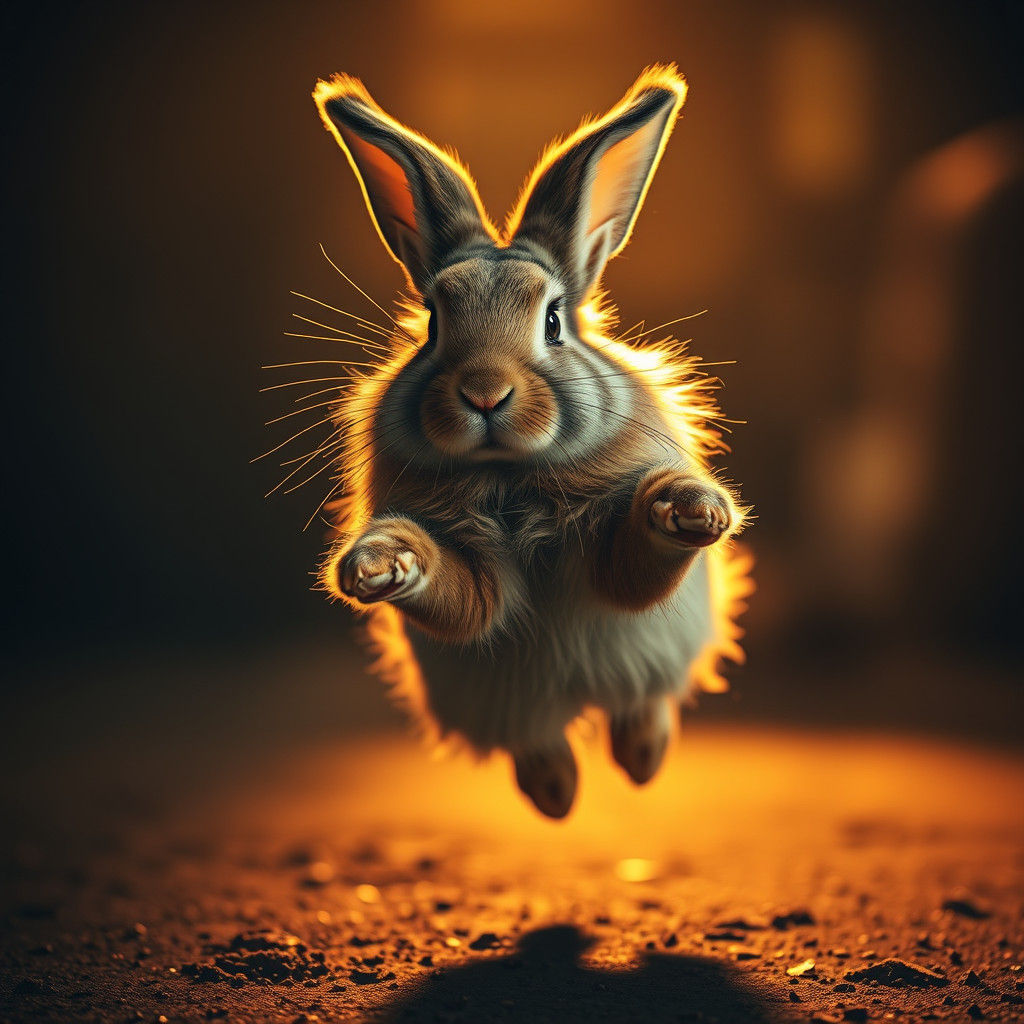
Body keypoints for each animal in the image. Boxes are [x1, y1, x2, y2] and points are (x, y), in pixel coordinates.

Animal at [309, 65, 751, 819]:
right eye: (433, 321)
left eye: (553, 321)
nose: (485, 393)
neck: (509, 477)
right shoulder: (473, 583)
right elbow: (458, 595)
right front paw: (379, 563)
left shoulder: (611, 562)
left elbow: (637, 563)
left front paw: (690, 508)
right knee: (541, 744)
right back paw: (557, 797)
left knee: (644, 707)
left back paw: (640, 761)